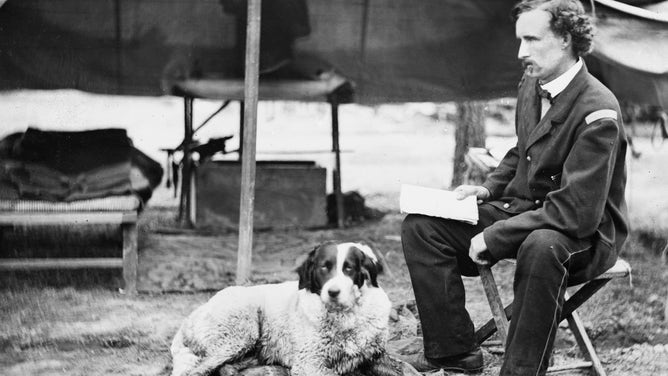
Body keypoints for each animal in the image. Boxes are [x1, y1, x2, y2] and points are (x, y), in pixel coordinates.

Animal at [170, 241, 404, 376]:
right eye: (324, 268)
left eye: (349, 268)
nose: (333, 292)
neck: (347, 318)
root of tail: (190, 318)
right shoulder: (310, 363)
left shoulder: (375, 355)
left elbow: (405, 368)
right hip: (240, 332)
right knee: (197, 370)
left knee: (225, 369)